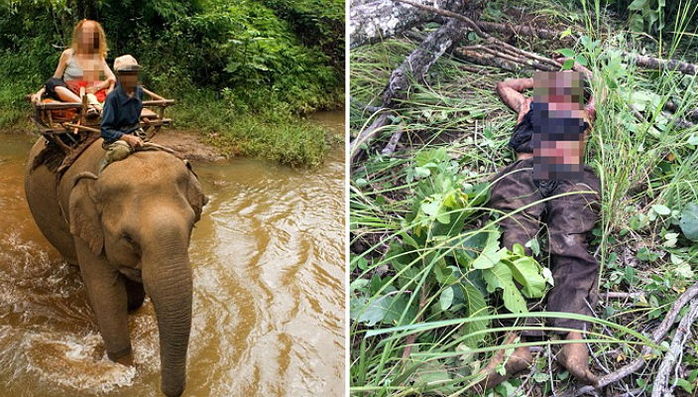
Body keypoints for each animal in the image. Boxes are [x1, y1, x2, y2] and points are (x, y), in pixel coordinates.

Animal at [25, 137, 209, 396]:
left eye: (192, 224)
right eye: (128, 238)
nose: (164, 389)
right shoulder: (88, 226)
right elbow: (106, 294)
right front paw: (123, 368)